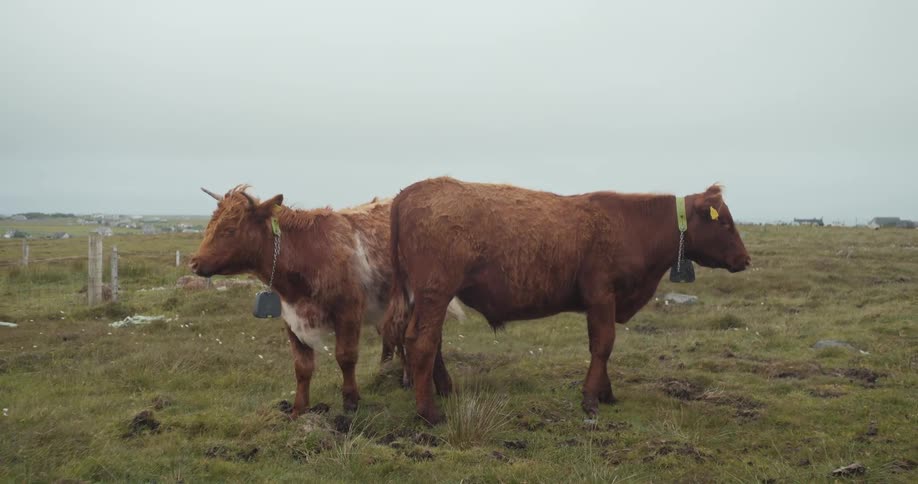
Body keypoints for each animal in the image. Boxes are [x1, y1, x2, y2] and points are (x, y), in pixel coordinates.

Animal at [190, 185, 464, 418]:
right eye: (209, 226)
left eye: (230, 230)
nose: (194, 262)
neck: (307, 252)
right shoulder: (291, 319)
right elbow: (302, 367)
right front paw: (298, 410)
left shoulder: (348, 311)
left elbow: (346, 357)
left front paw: (351, 402)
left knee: (428, 340)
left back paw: (440, 385)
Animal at [382, 177, 750, 424]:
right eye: (725, 222)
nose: (745, 259)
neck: (632, 226)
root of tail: (410, 192)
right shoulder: (602, 296)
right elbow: (604, 345)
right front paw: (591, 400)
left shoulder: (600, 304)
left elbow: (598, 346)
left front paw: (605, 392)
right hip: (436, 293)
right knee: (423, 342)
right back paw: (429, 412)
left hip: (428, 299)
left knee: (432, 342)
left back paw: (445, 390)